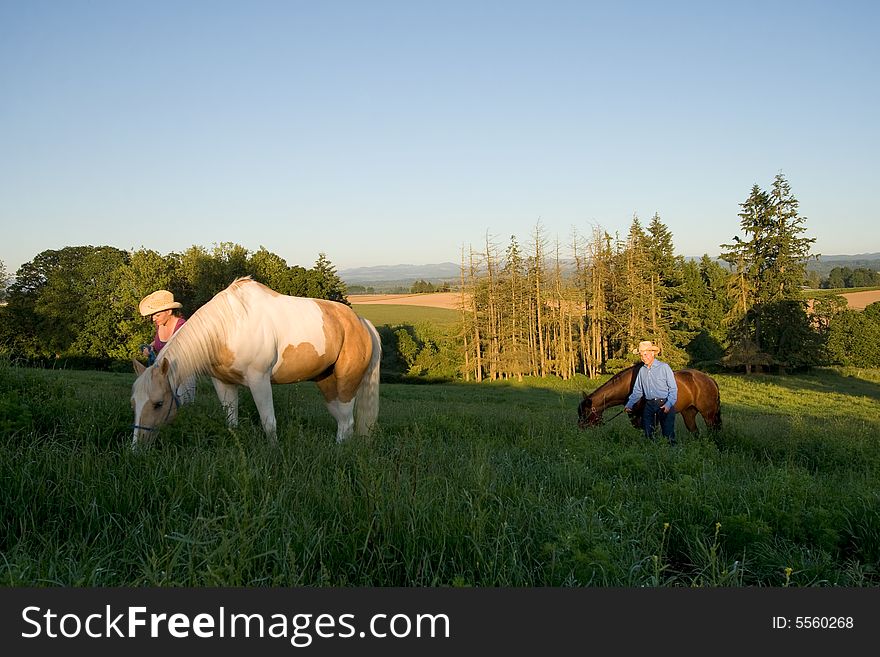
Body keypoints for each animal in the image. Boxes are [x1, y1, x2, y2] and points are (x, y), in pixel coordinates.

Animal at [131, 274, 382, 448]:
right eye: (134, 403)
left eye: (158, 403)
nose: (136, 448)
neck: (228, 326)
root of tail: (361, 322)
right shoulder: (223, 383)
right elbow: (231, 422)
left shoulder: (259, 380)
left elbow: (269, 423)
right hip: (326, 383)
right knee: (341, 420)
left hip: (347, 383)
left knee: (347, 422)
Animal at [576, 364, 720, 436]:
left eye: (585, 413)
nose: (580, 428)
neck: (630, 385)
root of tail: (710, 379)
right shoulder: (635, 416)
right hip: (689, 413)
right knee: (695, 432)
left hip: (708, 415)